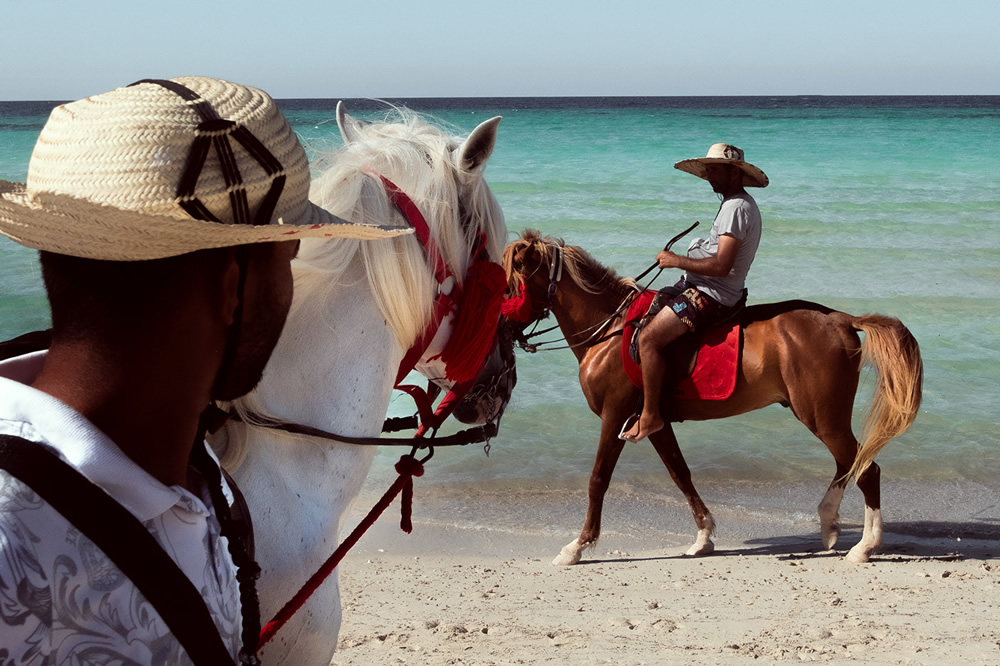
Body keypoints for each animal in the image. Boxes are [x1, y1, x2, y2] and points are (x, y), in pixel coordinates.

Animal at [504, 231, 924, 564]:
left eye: (509, 285)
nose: (503, 328)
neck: (611, 330)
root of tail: (841, 319)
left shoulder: (615, 413)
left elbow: (598, 479)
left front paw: (577, 546)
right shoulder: (654, 422)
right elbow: (680, 474)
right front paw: (703, 536)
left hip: (821, 416)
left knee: (866, 468)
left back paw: (864, 546)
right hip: (824, 416)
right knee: (848, 464)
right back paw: (828, 524)